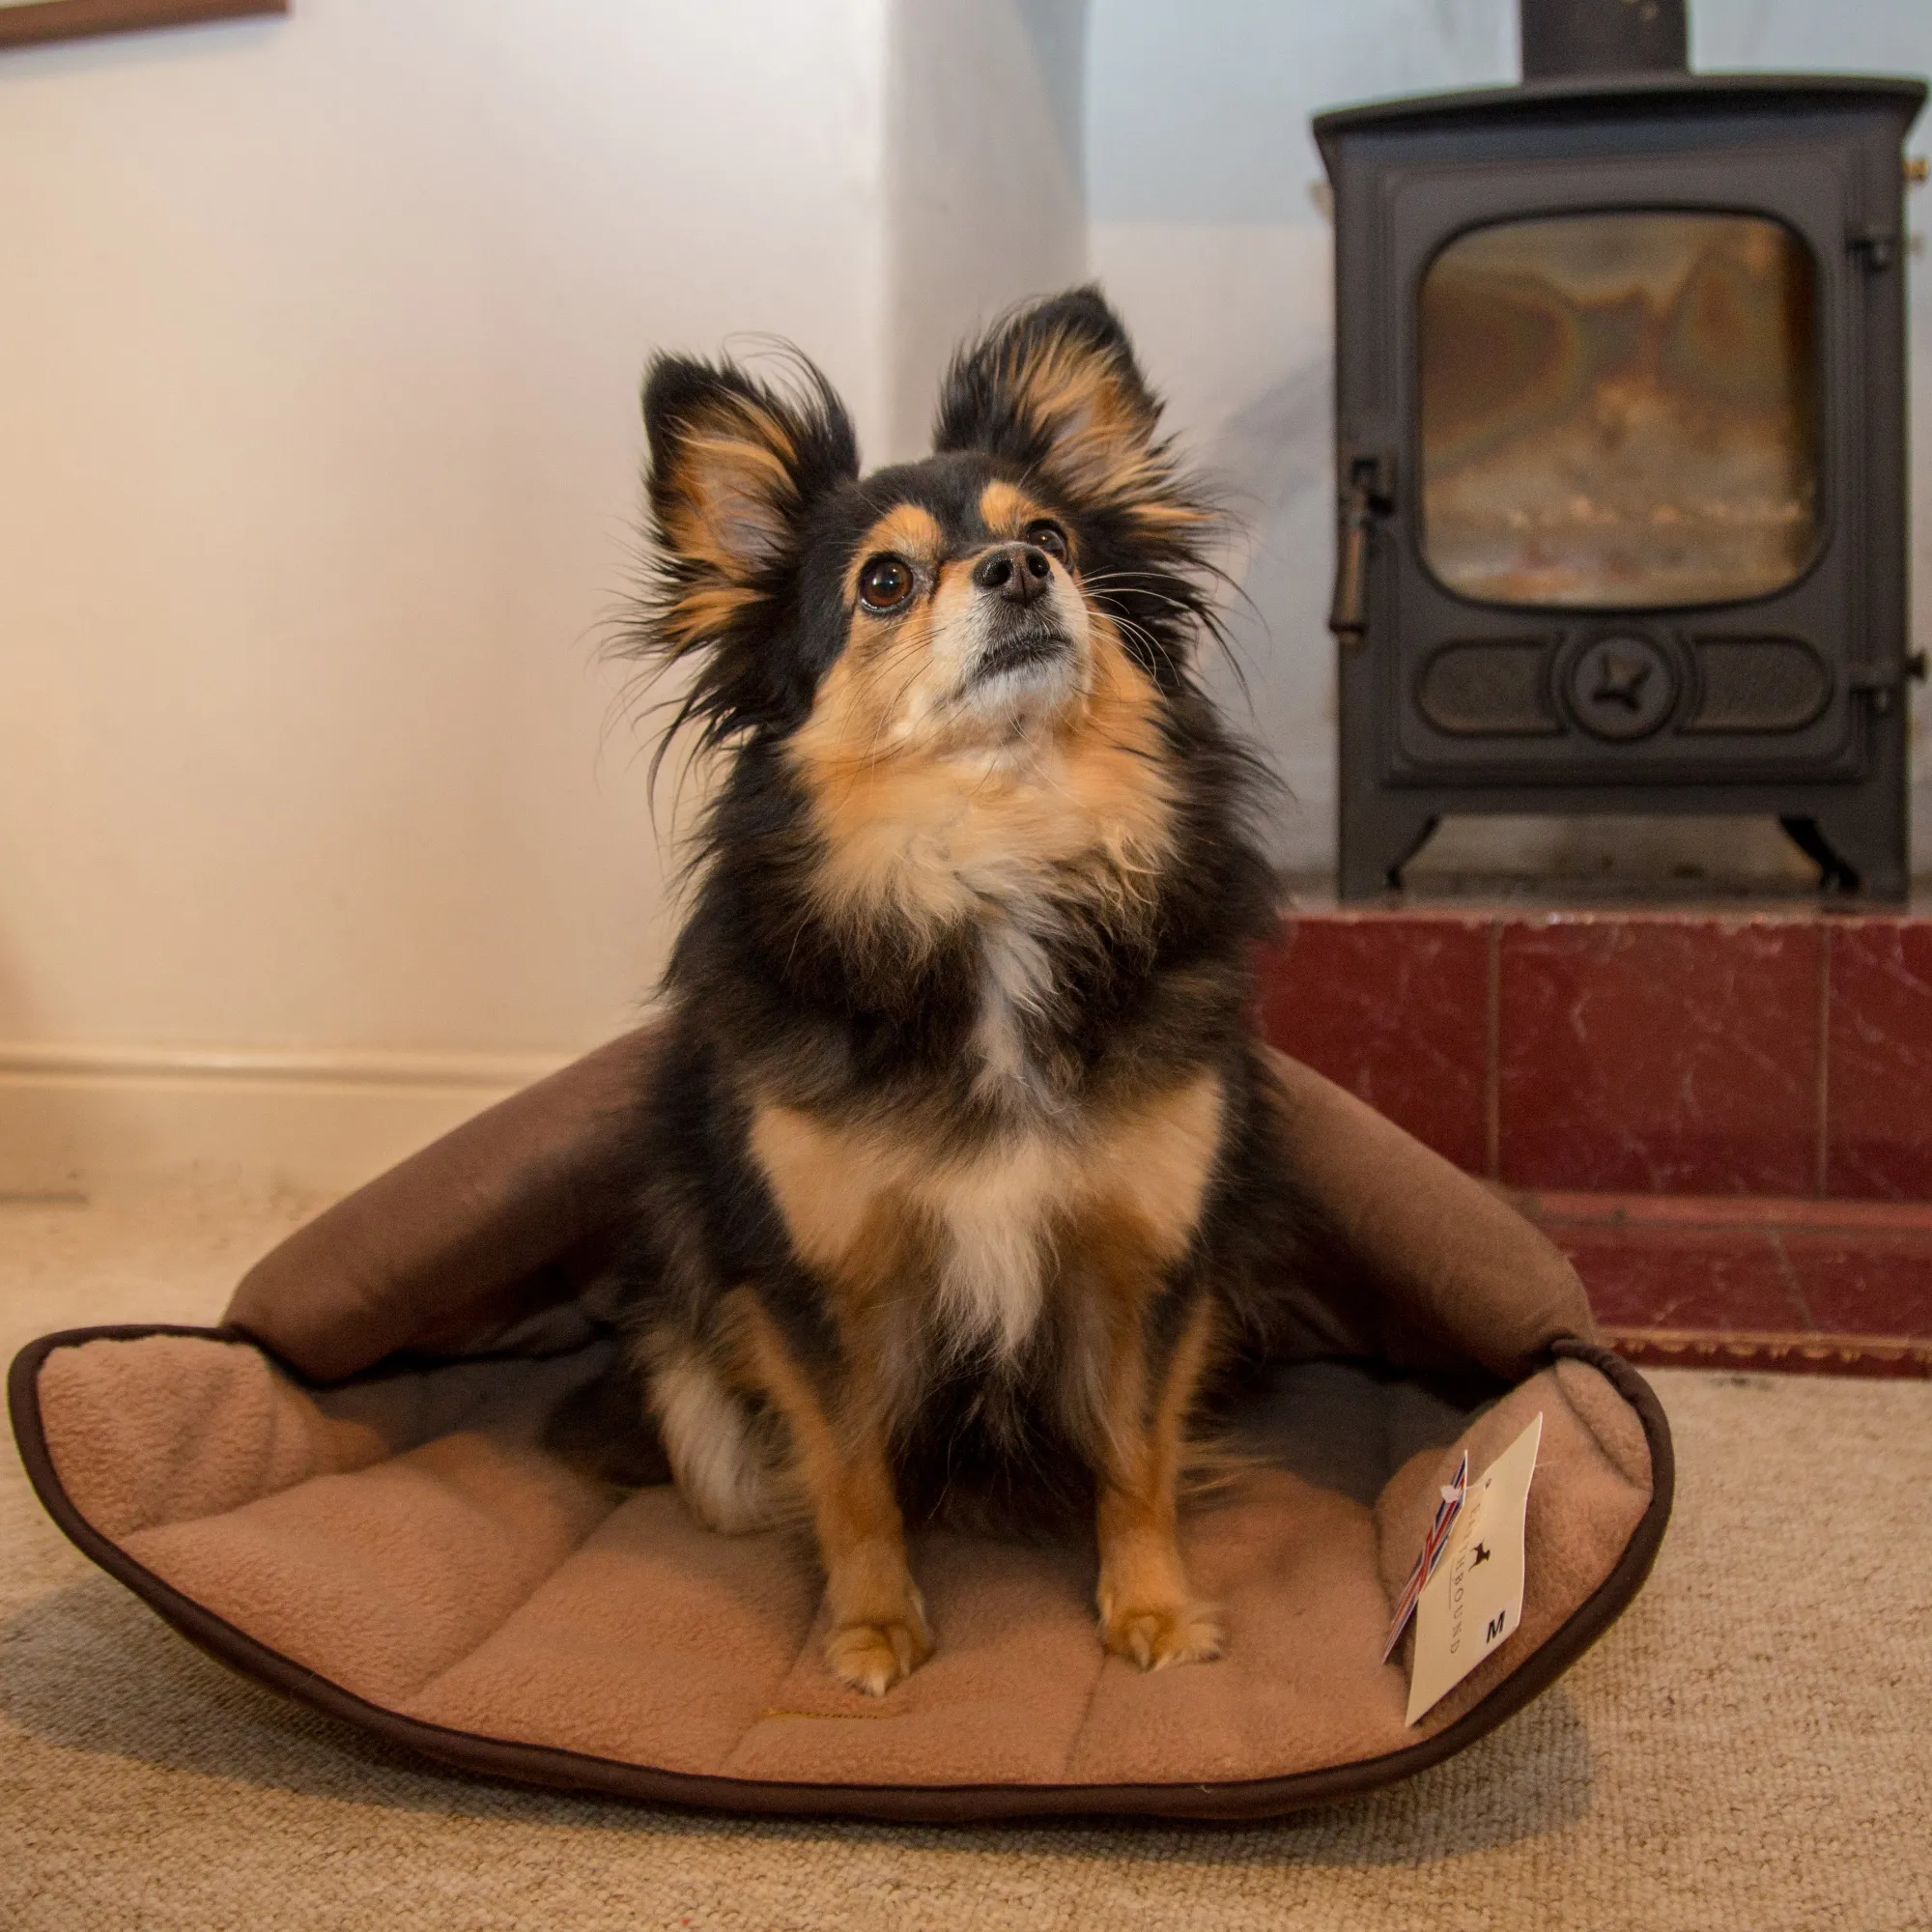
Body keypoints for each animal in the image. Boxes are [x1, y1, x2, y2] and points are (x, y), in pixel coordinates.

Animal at [618, 282, 1329, 1692]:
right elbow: (850, 1474)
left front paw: (1150, 1608)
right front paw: (872, 1626)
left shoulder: (1146, 1262)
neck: (996, 867)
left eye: (1047, 535)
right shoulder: (816, 1282)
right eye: (884, 583)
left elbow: (1135, 1455)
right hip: (694, 1402)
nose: (1016, 570)